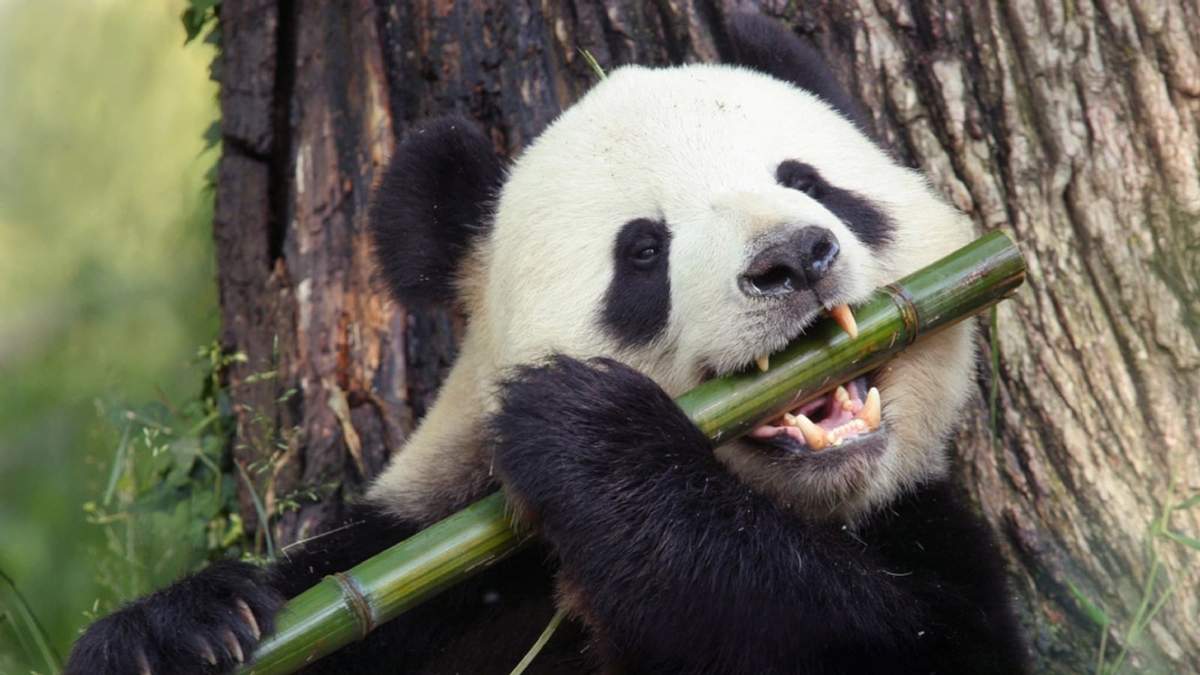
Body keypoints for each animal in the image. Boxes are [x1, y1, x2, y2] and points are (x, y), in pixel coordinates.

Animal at [66, 13, 1027, 675]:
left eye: (809, 181)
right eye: (643, 251)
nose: (793, 258)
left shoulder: (928, 533)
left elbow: (858, 633)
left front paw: (591, 434)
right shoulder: (432, 577)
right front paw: (176, 630)